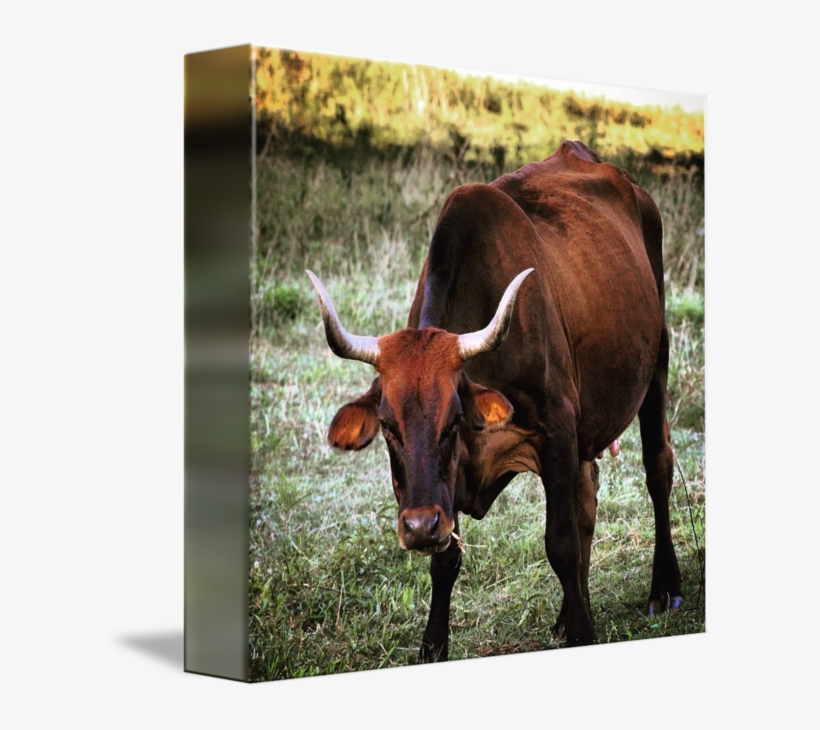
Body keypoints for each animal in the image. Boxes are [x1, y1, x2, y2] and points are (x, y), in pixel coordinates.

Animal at [307, 140, 682, 661]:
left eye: (453, 420)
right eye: (386, 426)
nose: (417, 527)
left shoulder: (556, 430)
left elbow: (561, 543)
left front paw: (583, 632)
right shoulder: (448, 492)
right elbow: (446, 561)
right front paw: (433, 646)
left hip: (656, 361)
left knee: (657, 467)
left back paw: (664, 588)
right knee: (588, 495)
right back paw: (571, 612)